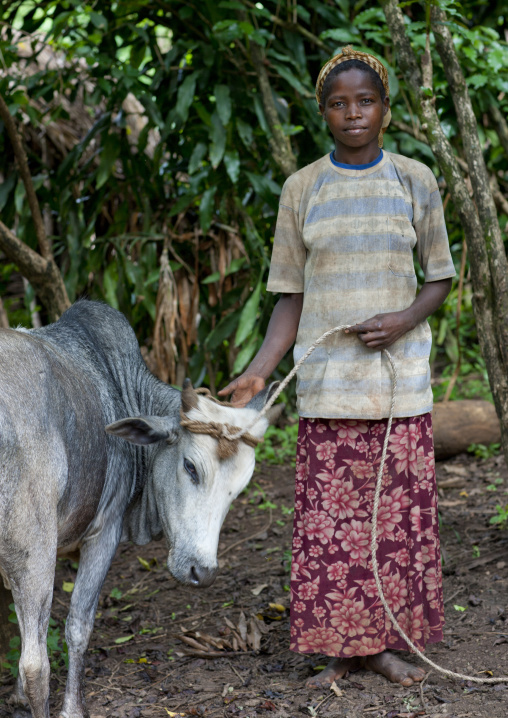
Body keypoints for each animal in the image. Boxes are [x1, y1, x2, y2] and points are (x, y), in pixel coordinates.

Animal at [0, 300, 281, 718]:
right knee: (36, 664)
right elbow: (78, 627)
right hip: (36, 549)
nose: (202, 572)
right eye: (190, 467)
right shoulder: (104, 531)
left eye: (240, 488)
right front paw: (73, 709)